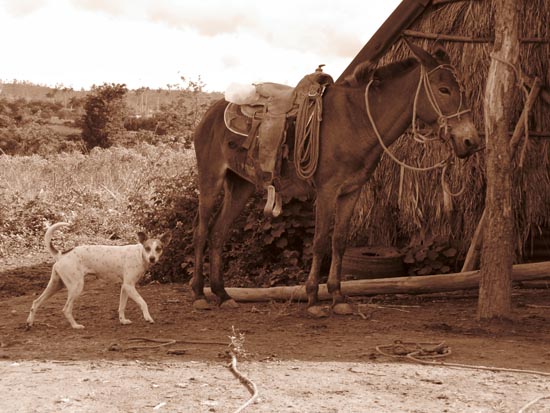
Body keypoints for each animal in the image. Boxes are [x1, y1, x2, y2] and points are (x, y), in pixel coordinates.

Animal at [25, 222, 171, 328]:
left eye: (158, 249)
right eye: (147, 248)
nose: (152, 258)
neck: (139, 255)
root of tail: (62, 254)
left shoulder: (125, 287)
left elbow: (121, 307)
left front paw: (122, 321)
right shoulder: (130, 286)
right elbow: (143, 303)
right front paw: (148, 318)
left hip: (56, 285)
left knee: (36, 302)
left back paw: (30, 322)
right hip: (76, 287)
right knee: (66, 309)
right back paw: (75, 326)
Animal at [191, 41, 484, 316]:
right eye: (444, 90)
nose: (471, 141)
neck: (357, 120)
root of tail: (212, 111)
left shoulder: (351, 191)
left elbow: (339, 241)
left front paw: (338, 297)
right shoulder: (327, 191)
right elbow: (320, 241)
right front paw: (312, 299)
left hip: (241, 186)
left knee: (218, 233)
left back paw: (223, 295)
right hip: (211, 179)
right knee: (202, 230)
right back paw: (198, 294)